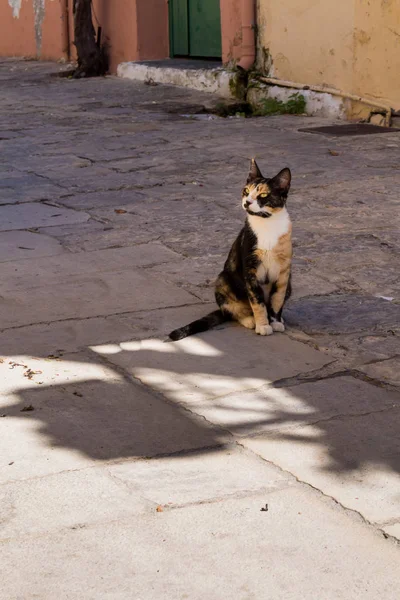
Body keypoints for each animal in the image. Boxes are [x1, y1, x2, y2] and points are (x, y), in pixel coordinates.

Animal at [167, 159, 292, 342]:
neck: (268, 224)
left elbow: (277, 298)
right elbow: (257, 301)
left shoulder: (284, 271)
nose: (247, 202)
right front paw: (263, 325)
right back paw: (250, 320)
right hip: (223, 279)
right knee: (231, 311)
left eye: (263, 195)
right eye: (246, 191)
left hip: (290, 283)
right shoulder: (250, 268)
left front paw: (275, 322)